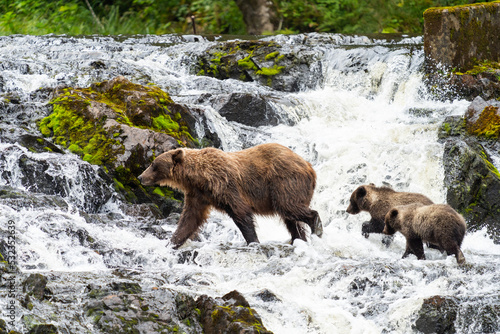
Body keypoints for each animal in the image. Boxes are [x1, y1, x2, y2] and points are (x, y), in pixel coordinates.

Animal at [138, 142, 324, 249]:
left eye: (153, 165)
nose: (140, 177)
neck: (198, 177)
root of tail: (310, 166)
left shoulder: (224, 185)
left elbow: (240, 212)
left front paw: (253, 241)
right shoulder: (198, 195)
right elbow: (189, 219)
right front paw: (171, 243)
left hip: (285, 182)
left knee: (289, 207)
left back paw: (316, 226)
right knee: (290, 219)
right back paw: (299, 238)